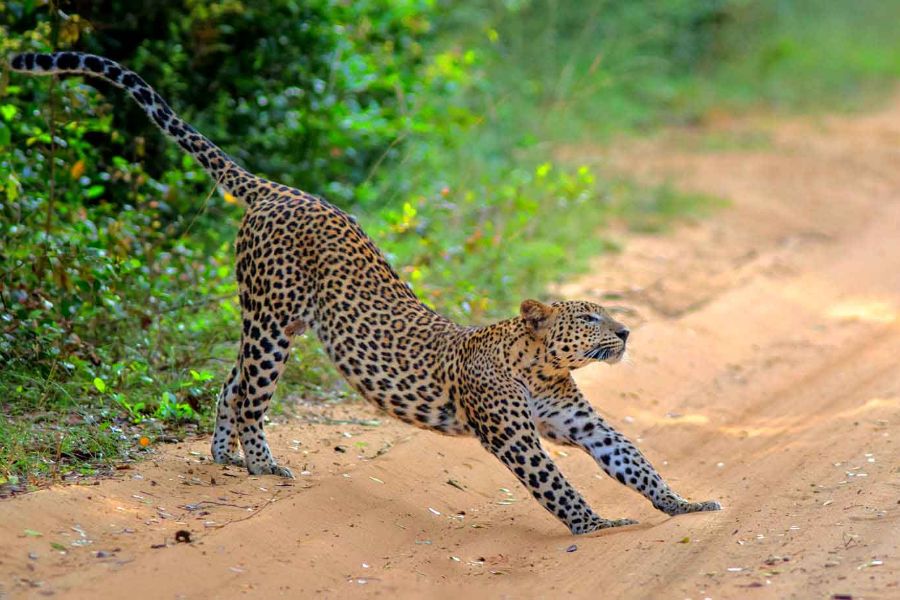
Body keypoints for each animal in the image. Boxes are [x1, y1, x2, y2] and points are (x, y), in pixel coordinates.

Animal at [10, 49, 720, 532]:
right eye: (592, 317)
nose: (625, 331)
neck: (538, 366)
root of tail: (277, 189)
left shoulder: (580, 422)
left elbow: (632, 459)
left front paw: (683, 503)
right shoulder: (513, 433)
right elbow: (552, 481)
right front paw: (596, 524)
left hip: (275, 322)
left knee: (230, 382)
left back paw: (225, 460)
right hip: (271, 320)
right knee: (250, 395)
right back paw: (262, 465)